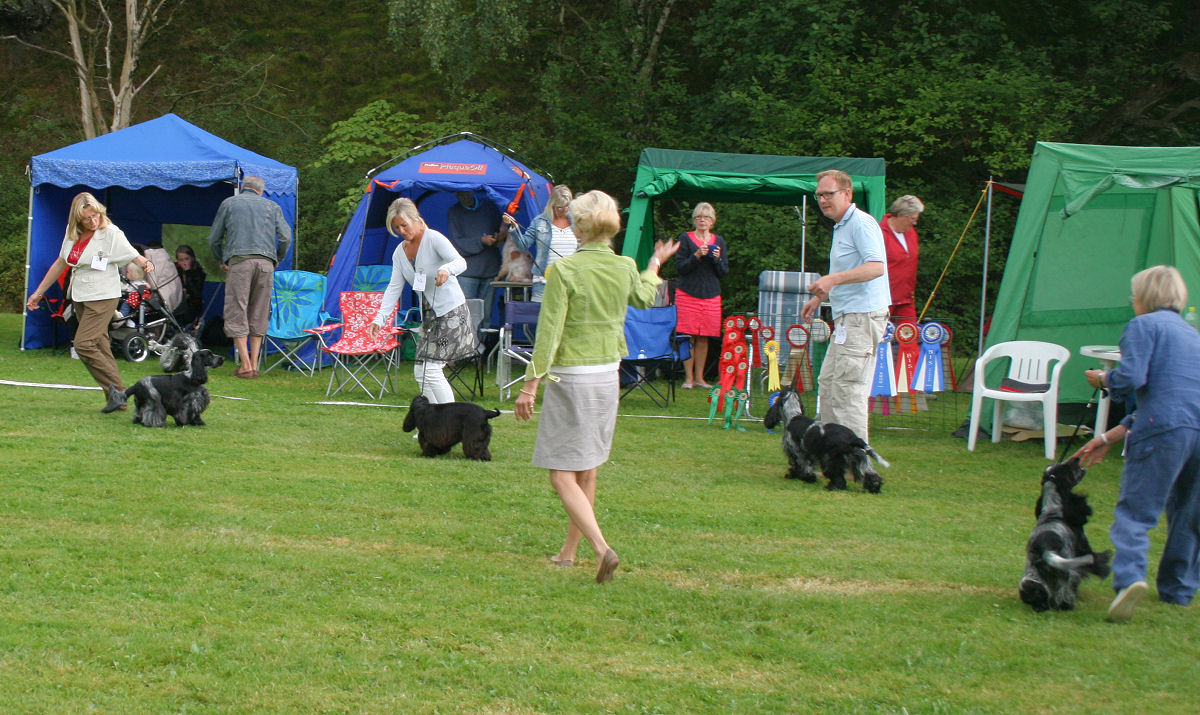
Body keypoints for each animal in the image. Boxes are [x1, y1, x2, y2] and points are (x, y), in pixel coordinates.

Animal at [1022, 458, 1113, 609]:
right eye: (1066, 468)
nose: (1076, 458)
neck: (1052, 513)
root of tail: (1046, 547)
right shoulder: (1083, 547)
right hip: (1068, 570)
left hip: (1030, 579)